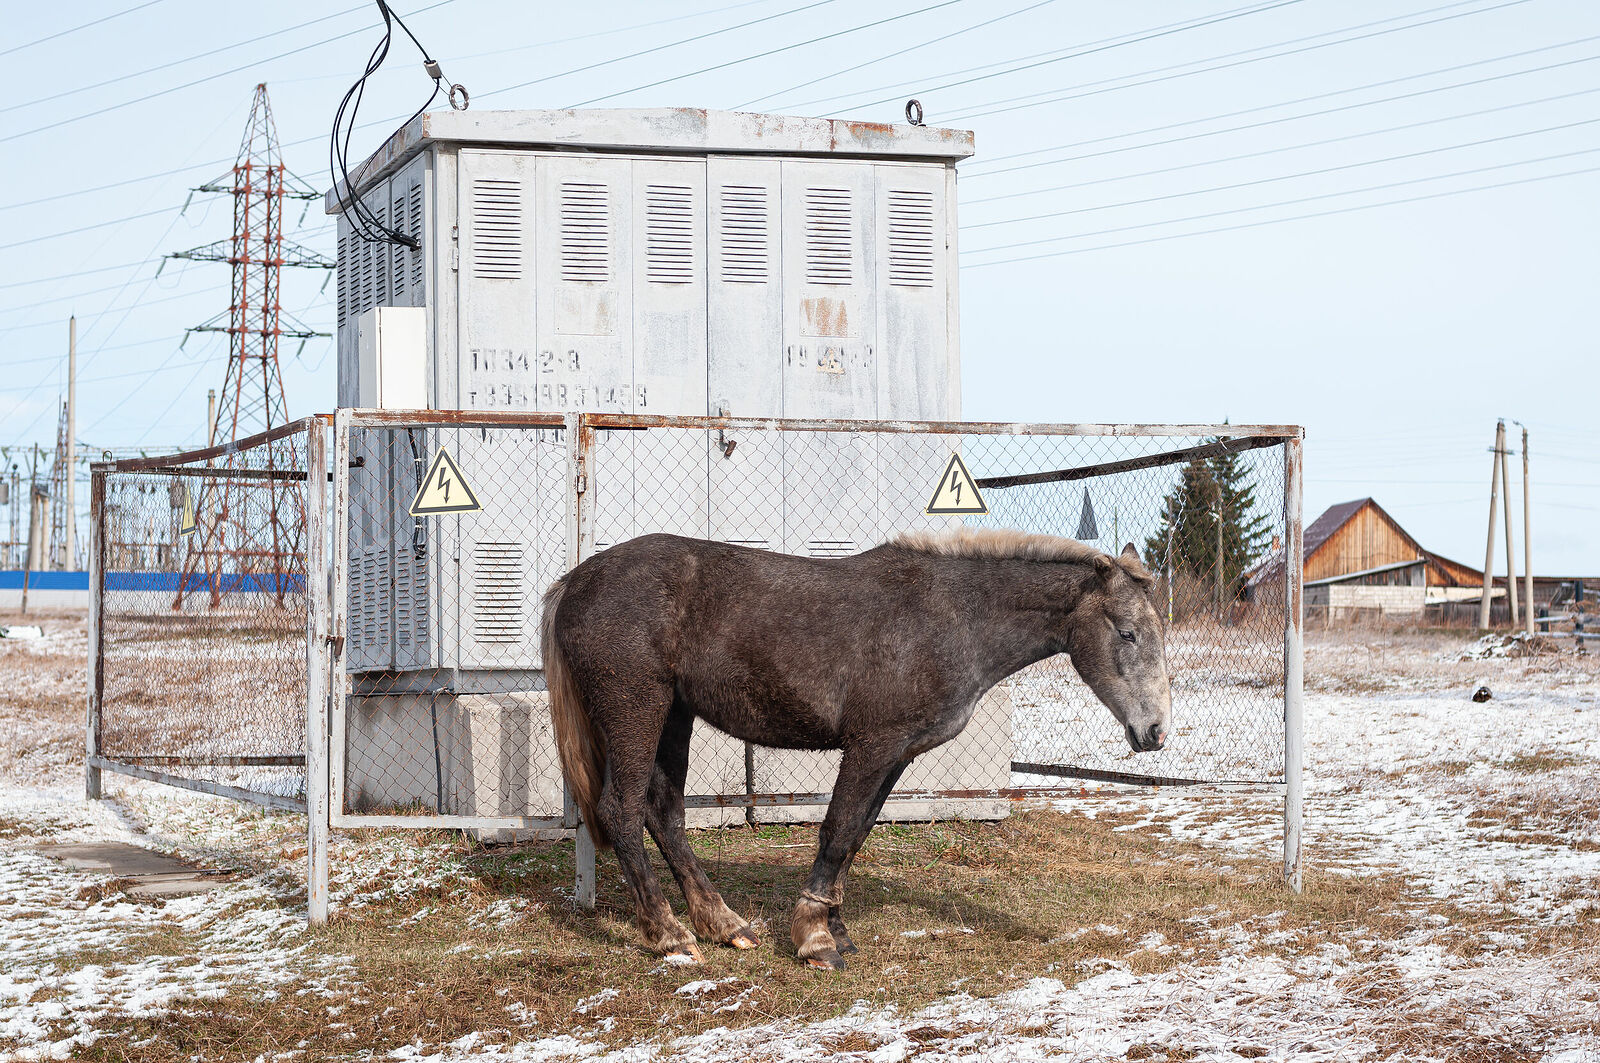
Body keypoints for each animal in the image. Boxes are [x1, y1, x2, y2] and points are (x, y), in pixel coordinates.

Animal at [541, 527, 1172, 970]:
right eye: (1127, 633)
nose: (1155, 733)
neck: (954, 615)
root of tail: (577, 581)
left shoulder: (896, 754)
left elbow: (858, 832)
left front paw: (835, 927)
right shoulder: (873, 744)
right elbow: (839, 829)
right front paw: (816, 938)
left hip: (674, 714)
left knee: (663, 813)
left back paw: (723, 924)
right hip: (636, 708)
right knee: (622, 810)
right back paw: (669, 936)